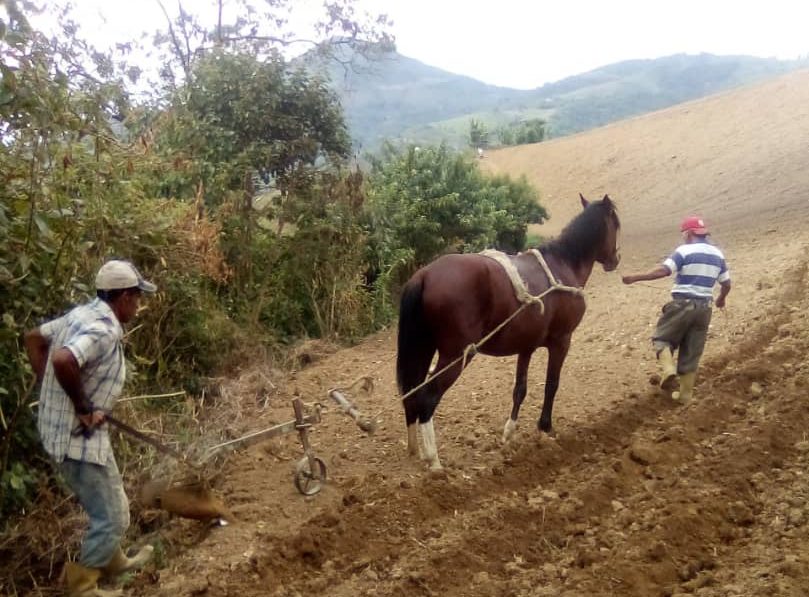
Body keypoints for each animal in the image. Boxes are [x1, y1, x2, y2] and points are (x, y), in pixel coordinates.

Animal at [396, 193, 620, 468]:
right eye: (615, 224)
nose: (614, 260)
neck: (563, 264)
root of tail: (424, 275)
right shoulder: (562, 341)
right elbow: (551, 384)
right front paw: (545, 428)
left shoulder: (527, 346)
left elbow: (520, 390)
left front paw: (509, 433)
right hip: (456, 356)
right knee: (428, 397)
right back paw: (433, 459)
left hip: (423, 349)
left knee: (412, 394)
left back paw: (415, 448)